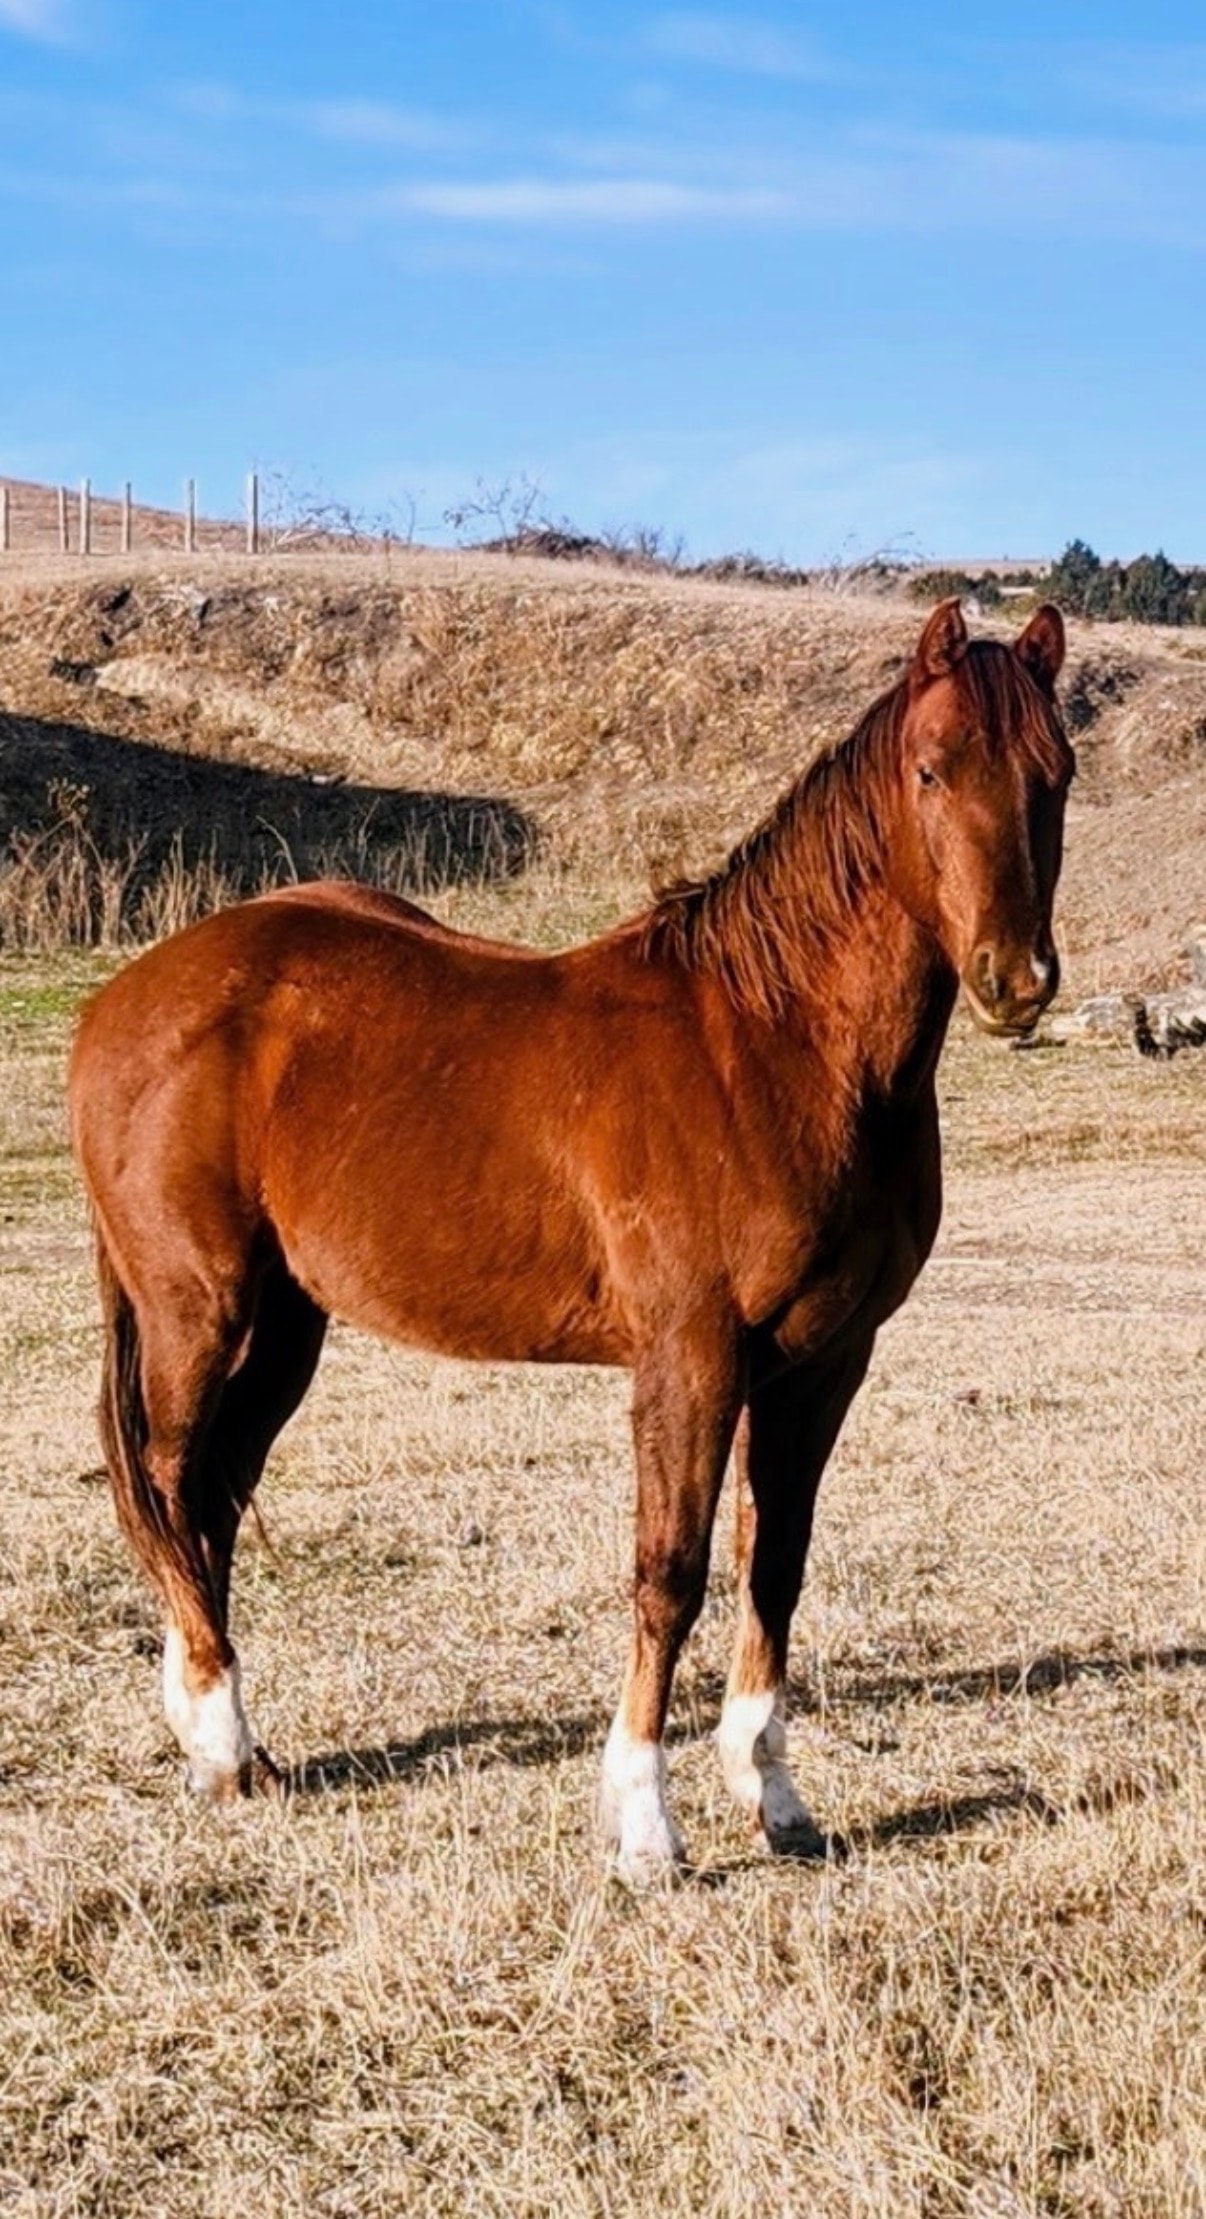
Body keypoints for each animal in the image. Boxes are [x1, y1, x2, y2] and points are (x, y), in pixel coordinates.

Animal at [68, 597, 1074, 1880]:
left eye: (1056, 772)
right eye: (933, 768)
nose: (1017, 979)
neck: (779, 1044)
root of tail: (125, 998)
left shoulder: (823, 1363)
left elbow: (776, 1560)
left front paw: (774, 1795)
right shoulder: (691, 1357)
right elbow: (670, 1571)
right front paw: (645, 1823)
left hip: (288, 1323)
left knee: (211, 1493)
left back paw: (222, 1738)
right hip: (198, 1310)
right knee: (167, 1478)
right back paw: (223, 1739)